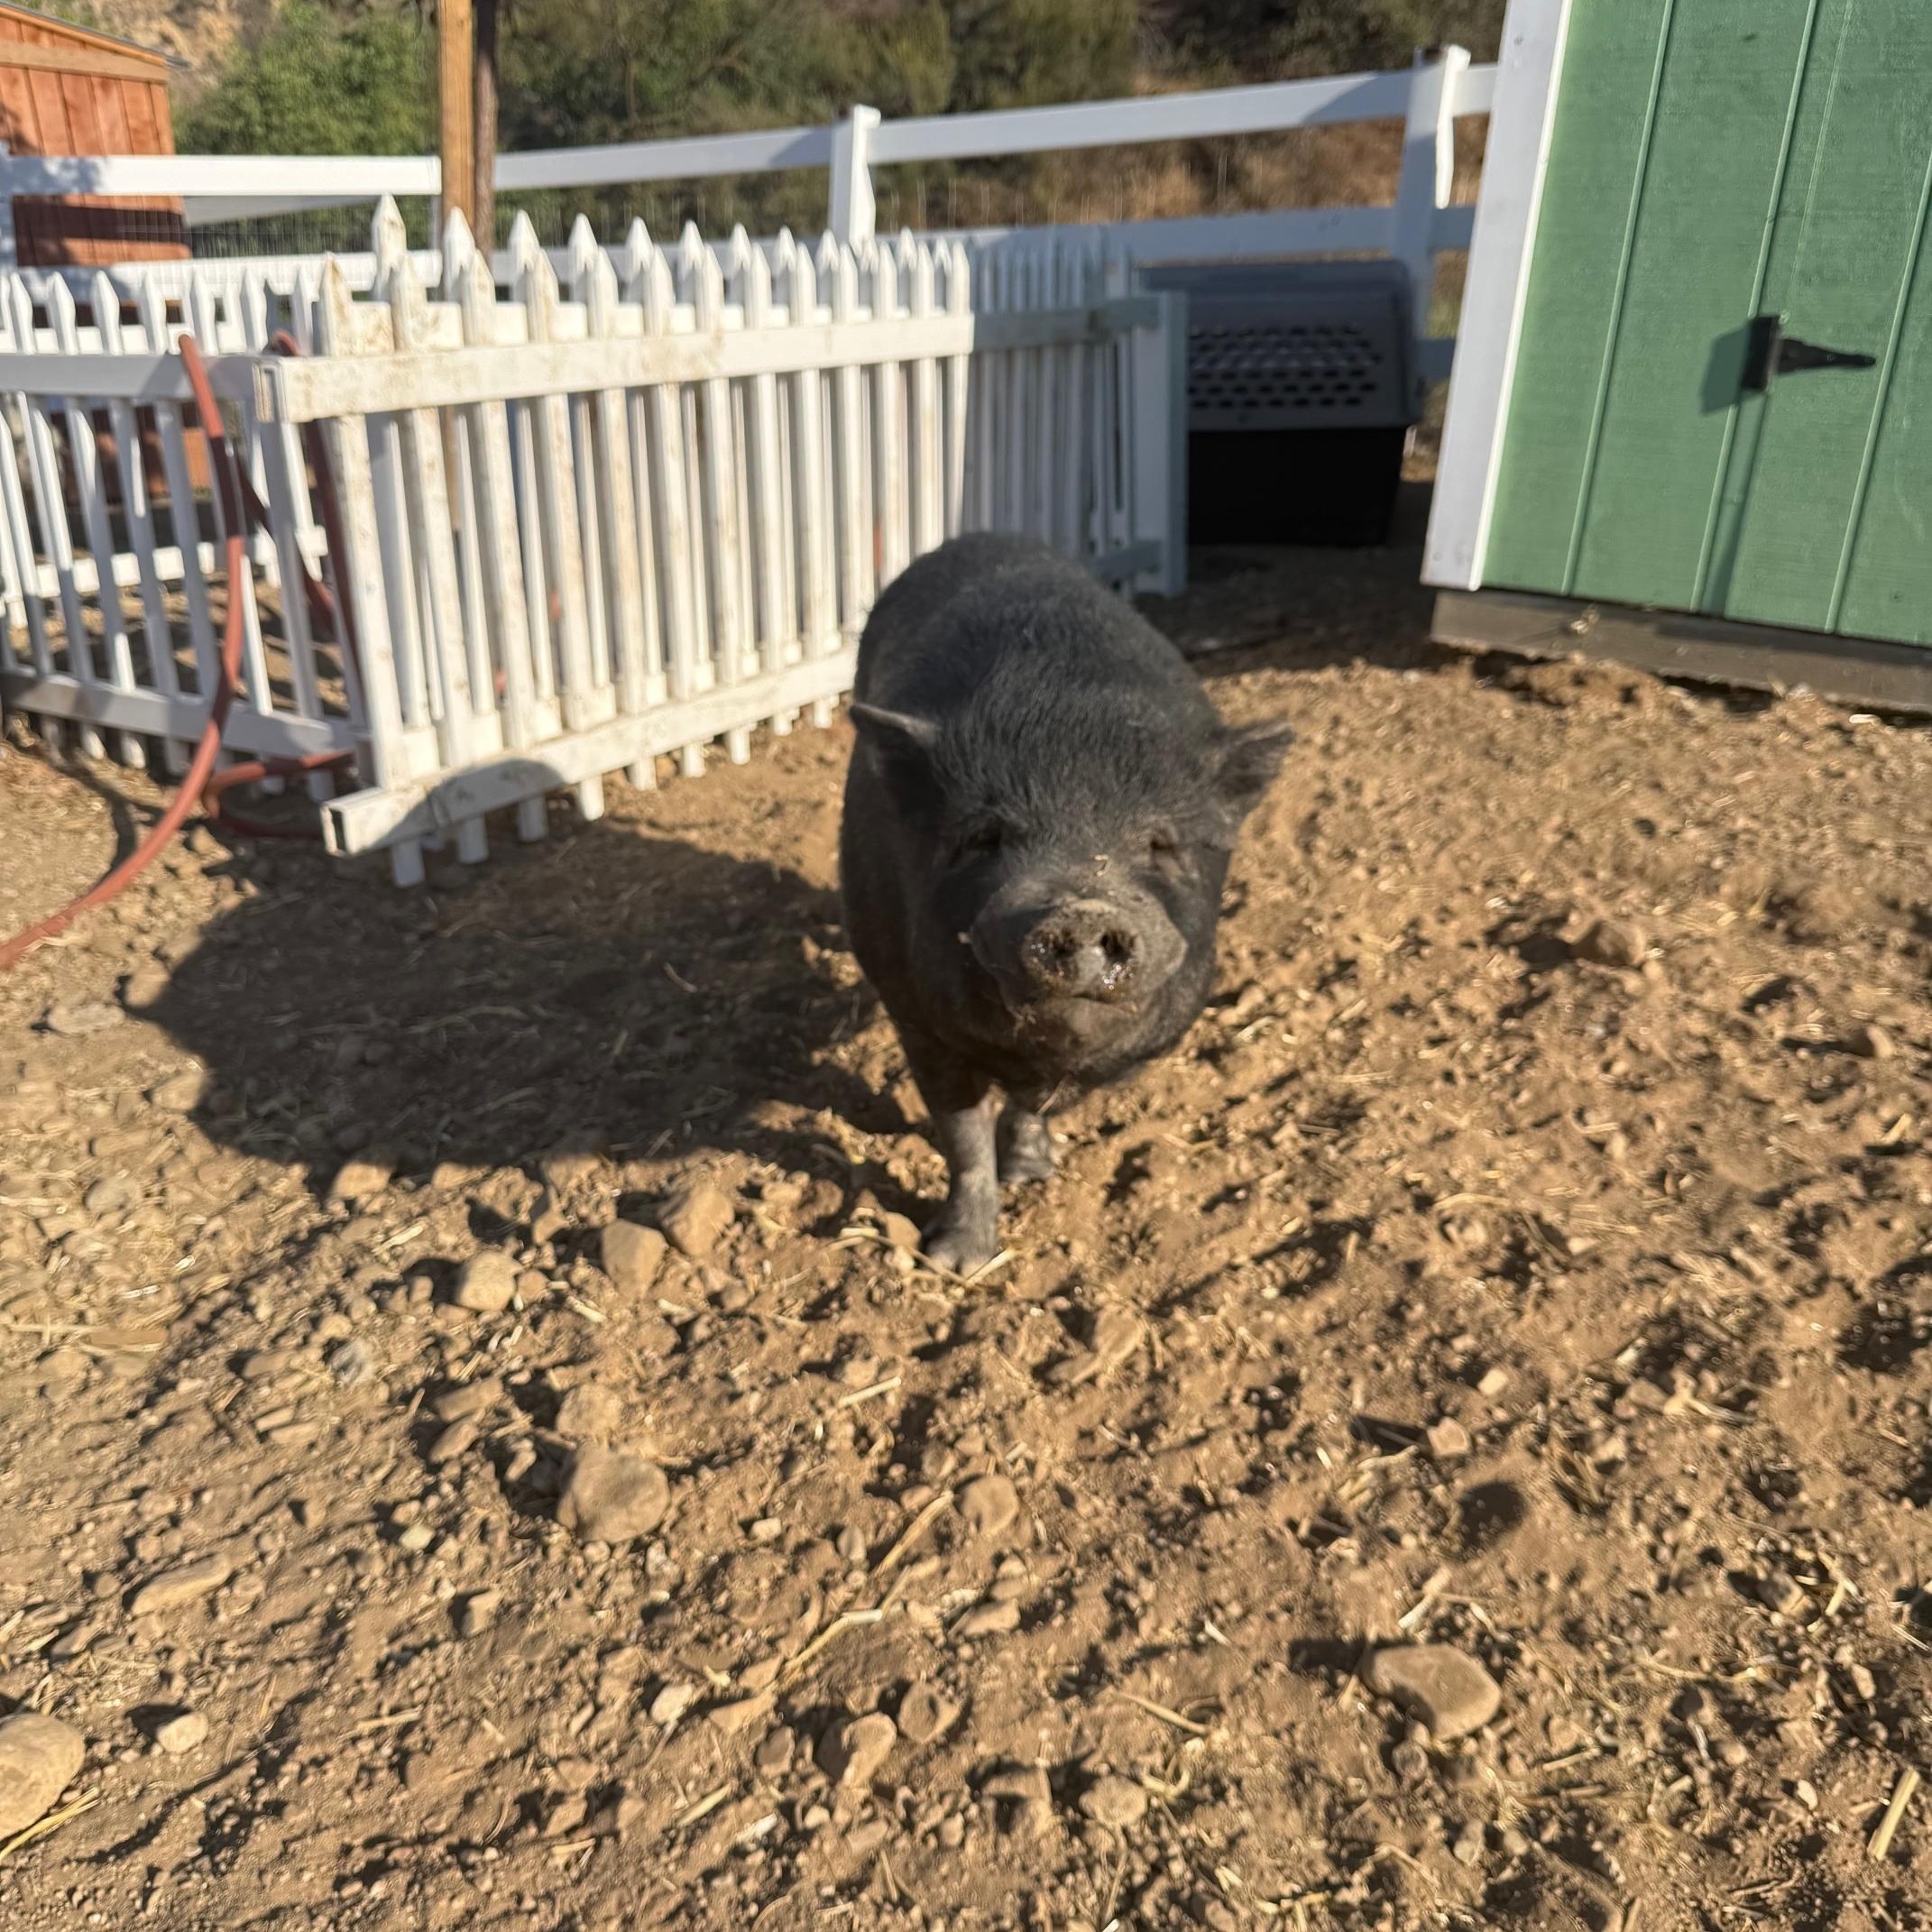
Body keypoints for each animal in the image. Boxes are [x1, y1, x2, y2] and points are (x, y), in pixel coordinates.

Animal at [839, 533, 1292, 1273]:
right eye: (984, 837)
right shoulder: (914, 1015)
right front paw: (955, 1262)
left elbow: (1036, 1111)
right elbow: (961, 1137)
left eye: (1161, 843)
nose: (1081, 909)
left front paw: (1031, 1173)